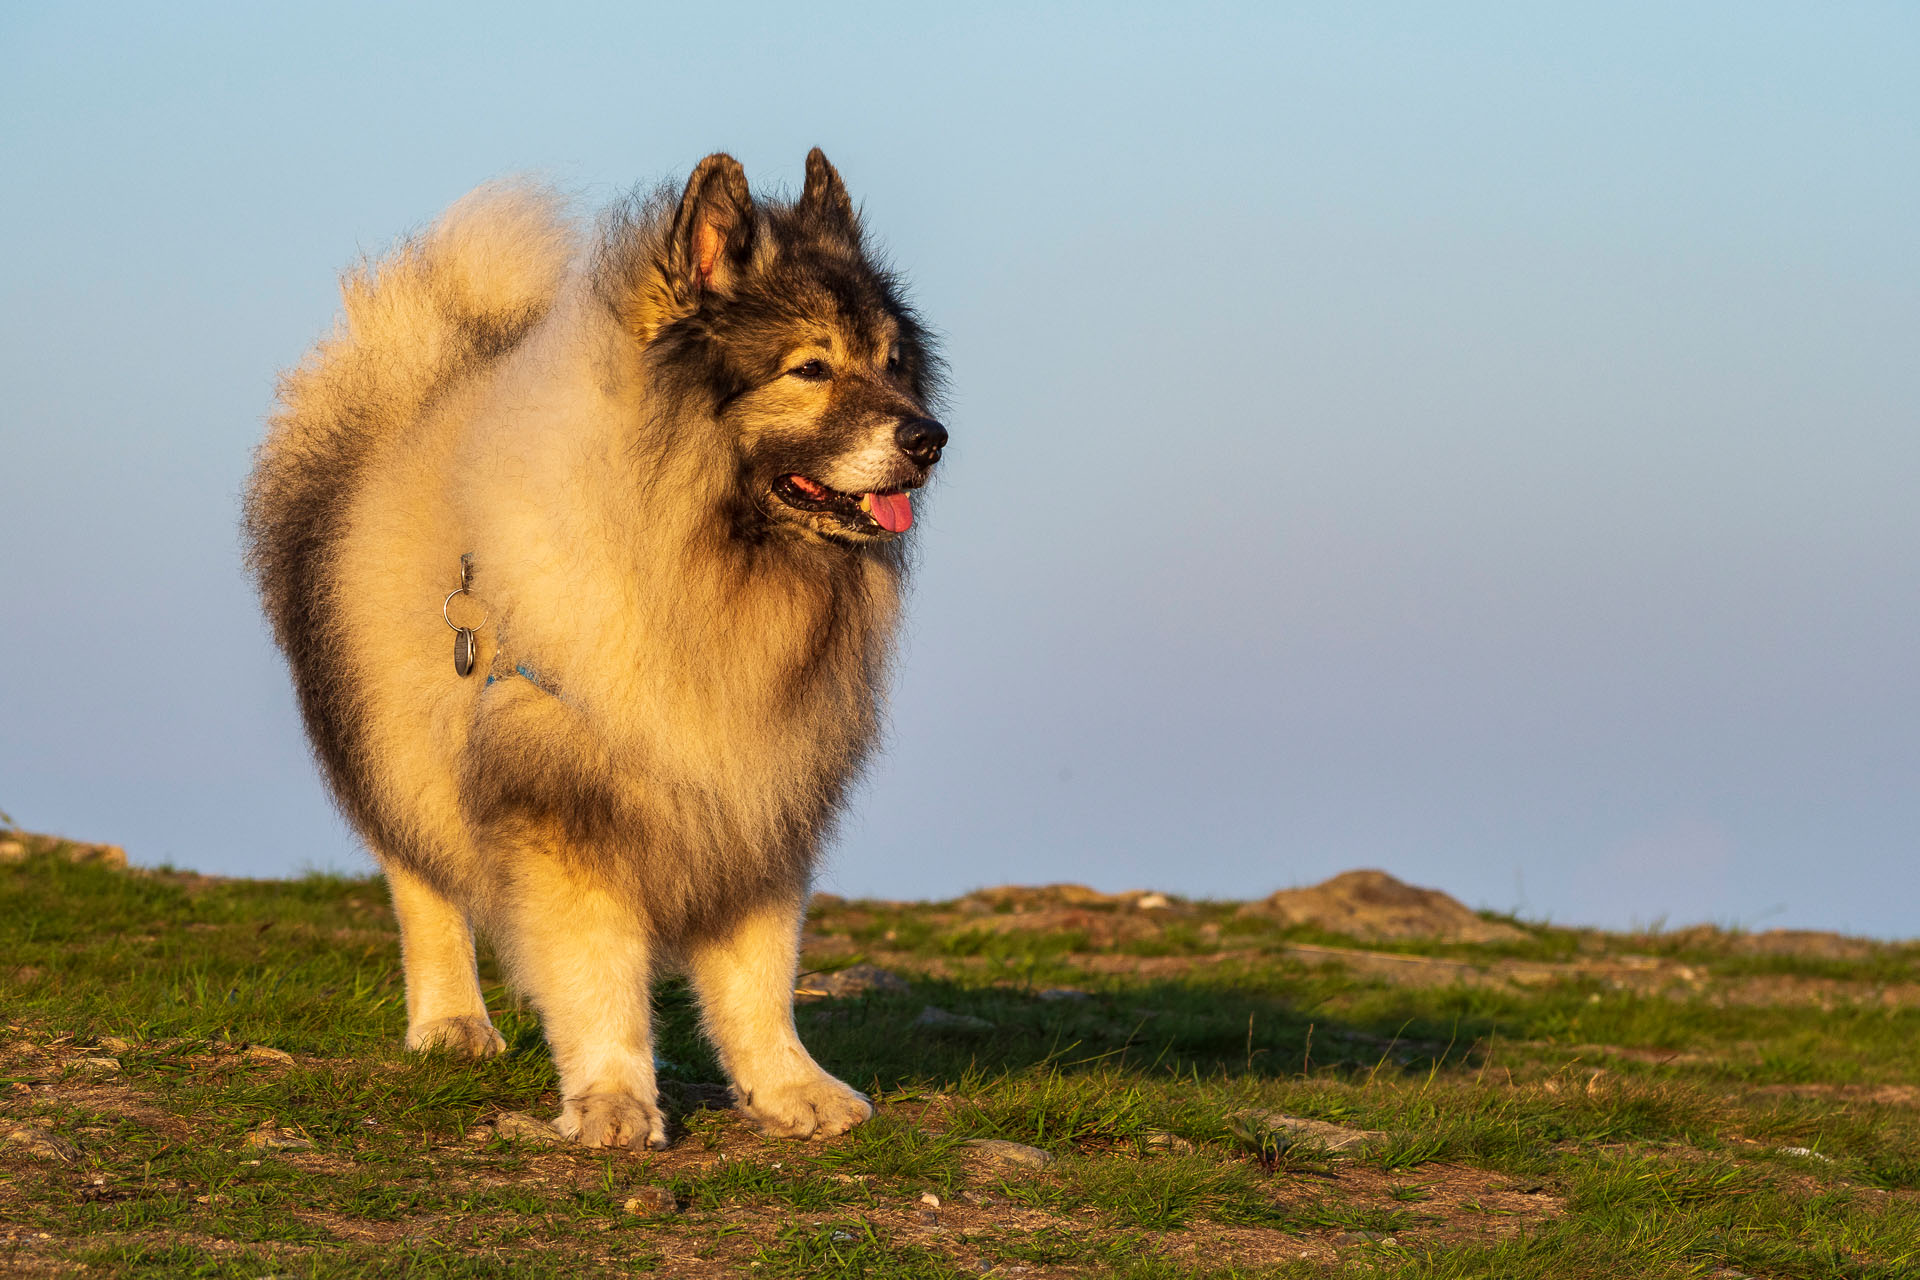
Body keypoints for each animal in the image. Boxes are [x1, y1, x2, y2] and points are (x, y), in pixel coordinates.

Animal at [243, 152, 948, 1151]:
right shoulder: (567, 798)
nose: (930, 438)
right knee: (423, 883)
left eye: (893, 364)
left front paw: (788, 1087)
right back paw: (451, 1021)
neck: (703, 566)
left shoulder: (758, 789)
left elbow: (760, 971)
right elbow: (597, 969)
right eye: (810, 368)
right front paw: (614, 1100)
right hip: (396, 742)